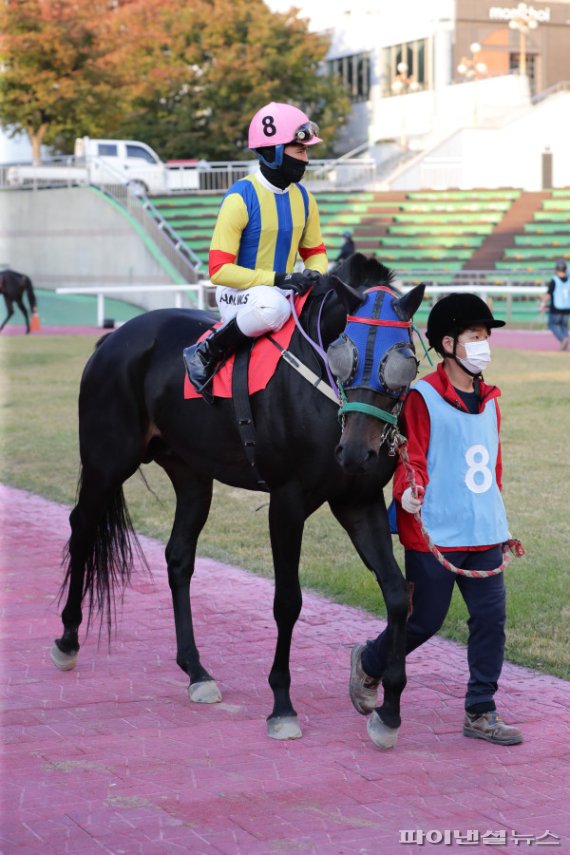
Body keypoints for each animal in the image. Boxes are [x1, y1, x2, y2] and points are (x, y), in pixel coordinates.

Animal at [53, 254, 424, 748]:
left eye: (403, 360)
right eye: (345, 354)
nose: (356, 452)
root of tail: (112, 337)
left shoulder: (358, 502)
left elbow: (398, 595)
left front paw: (388, 710)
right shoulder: (286, 503)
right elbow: (288, 601)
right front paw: (282, 706)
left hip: (191, 474)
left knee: (178, 557)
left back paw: (195, 671)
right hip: (106, 461)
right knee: (82, 528)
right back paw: (67, 639)